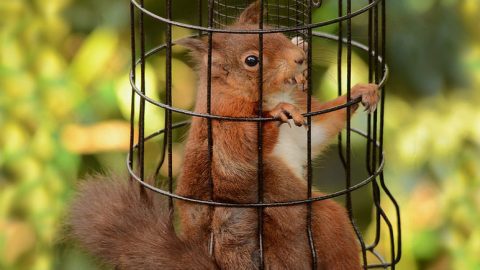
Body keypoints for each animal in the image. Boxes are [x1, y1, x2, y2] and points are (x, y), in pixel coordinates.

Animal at [69, 1, 380, 268]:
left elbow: (319, 128)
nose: (300, 57)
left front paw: (360, 91)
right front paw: (278, 111)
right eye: (252, 60)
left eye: (277, 32)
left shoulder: (303, 127)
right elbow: (241, 147)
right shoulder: (223, 121)